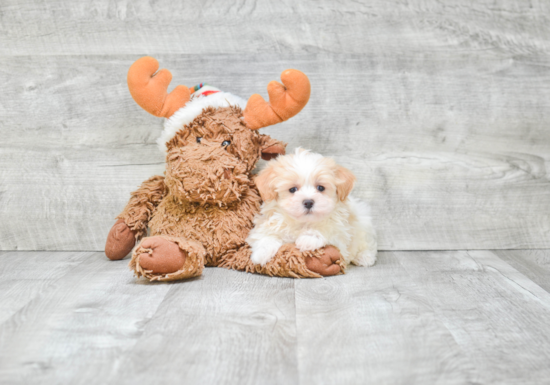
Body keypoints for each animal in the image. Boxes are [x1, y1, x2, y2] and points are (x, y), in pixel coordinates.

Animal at [250, 147, 380, 268]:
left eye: (320, 188)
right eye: (292, 189)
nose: (308, 202)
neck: (303, 223)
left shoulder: (341, 240)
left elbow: (329, 229)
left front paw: (308, 238)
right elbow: (264, 235)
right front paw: (261, 253)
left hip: (363, 224)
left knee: (367, 244)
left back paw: (364, 257)